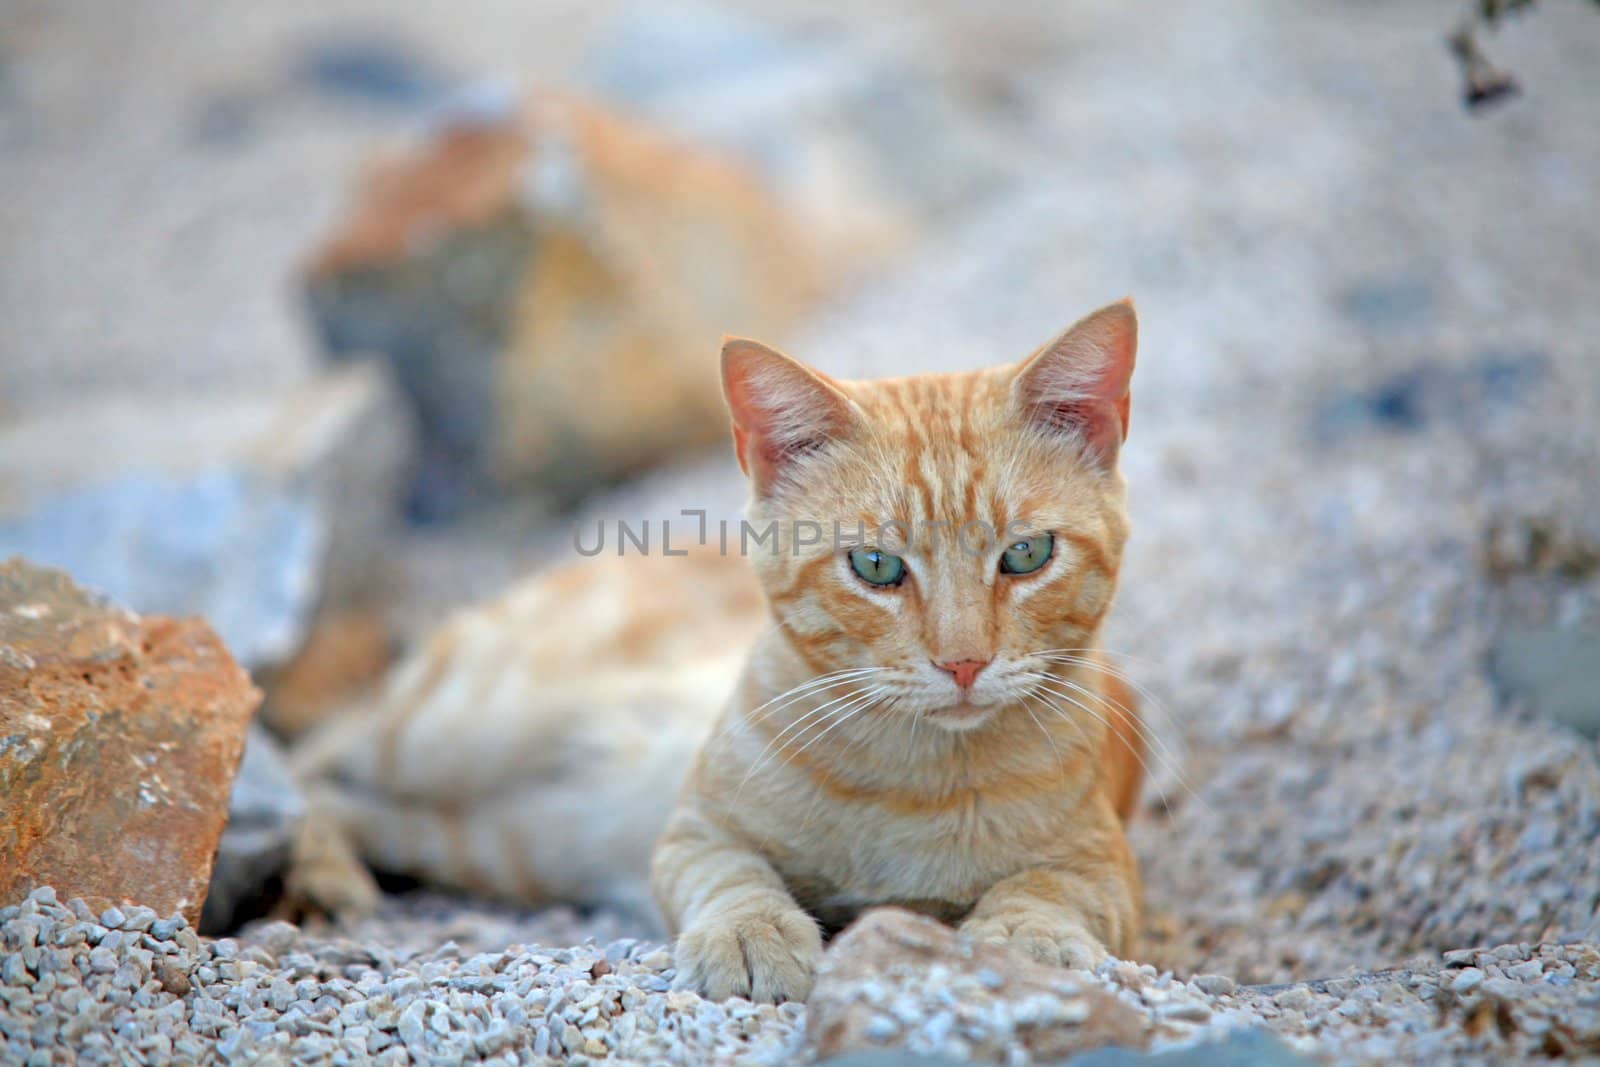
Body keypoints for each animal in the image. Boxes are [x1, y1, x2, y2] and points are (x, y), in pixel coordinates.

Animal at [291, 300, 1139, 1004]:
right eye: (875, 566)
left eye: (1026, 554)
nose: (963, 662)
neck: (913, 781)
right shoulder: (692, 832)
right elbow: (734, 873)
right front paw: (751, 933)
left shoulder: (1108, 869)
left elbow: (1048, 887)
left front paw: (1024, 936)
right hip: (452, 728)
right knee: (310, 756)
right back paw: (311, 864)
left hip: (504, 842)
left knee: (376, 811)